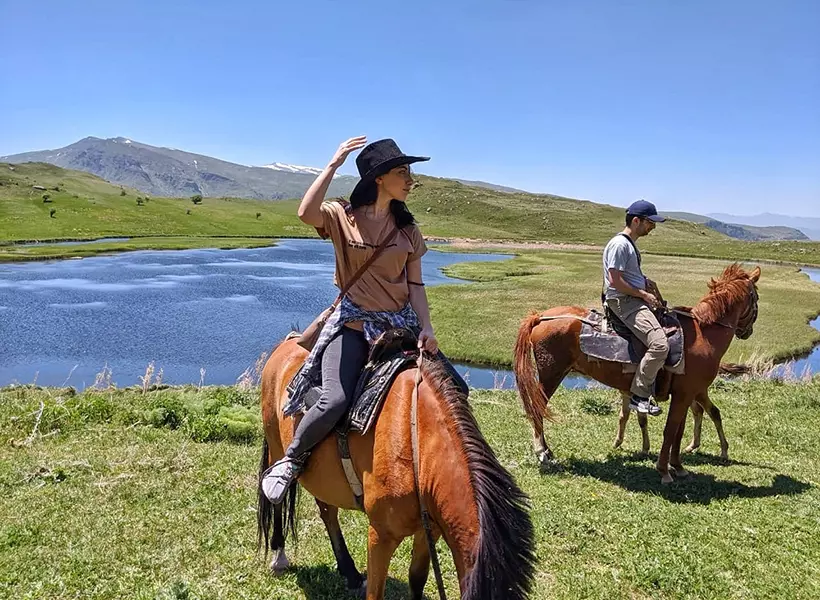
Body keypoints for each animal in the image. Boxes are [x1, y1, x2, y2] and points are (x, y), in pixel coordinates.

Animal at [516, 264, 760, 486]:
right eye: (756, 297)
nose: (747, 332)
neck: (704, 335)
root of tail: (540, 317)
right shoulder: (685, 394)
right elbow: (670, 431)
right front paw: (664, 471)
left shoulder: (685, 394)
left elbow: (678, 431)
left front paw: (678, 466)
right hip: (551, 375)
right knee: (537, 409)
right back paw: (543, 453)